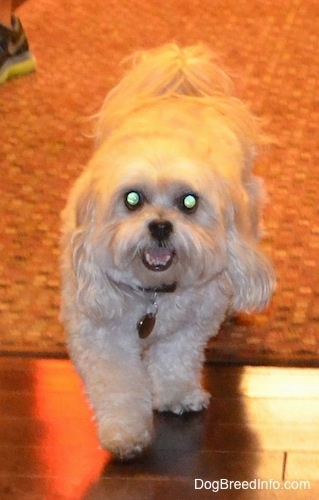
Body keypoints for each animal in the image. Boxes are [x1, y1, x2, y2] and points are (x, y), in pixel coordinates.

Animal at [61, 44, 276, 460]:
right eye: (132, 199)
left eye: (188, 202)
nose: (160, 225)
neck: (154, 295)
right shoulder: (99, 328)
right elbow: (117, 383)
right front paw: (125, 433)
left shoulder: (195, 318)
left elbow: (176, 356)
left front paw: (176, 395)